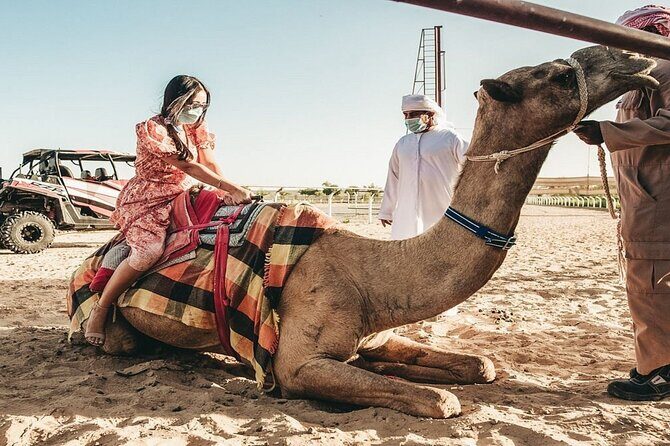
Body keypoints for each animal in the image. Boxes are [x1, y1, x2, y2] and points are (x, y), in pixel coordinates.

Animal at [89, 45, 657, 419]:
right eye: (557, 73)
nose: (638, 60)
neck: (372, 277)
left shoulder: (377, 332)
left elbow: (481, 365)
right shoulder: (297, 365)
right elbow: (441, 401)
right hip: (118, 322)